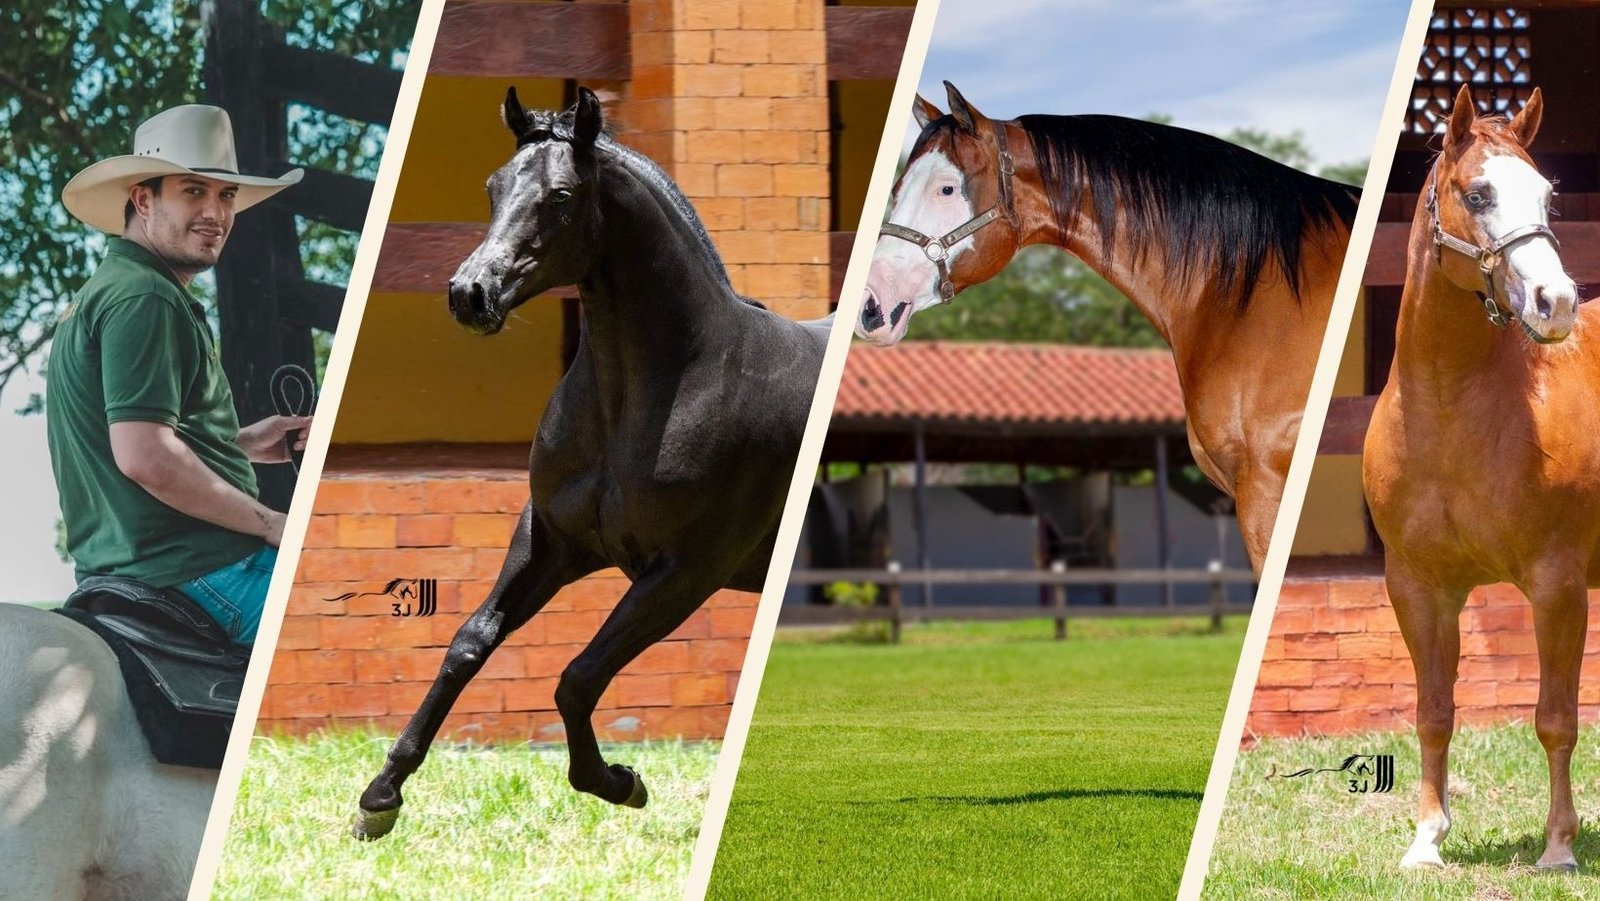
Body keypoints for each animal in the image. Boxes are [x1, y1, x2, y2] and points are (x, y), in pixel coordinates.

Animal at [351, 87, 827, 839]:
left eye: (562, 196)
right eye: (493, 187)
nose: (470, 293)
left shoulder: (685, 572)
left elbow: (578, 676)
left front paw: (617, 780)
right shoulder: (552, 541)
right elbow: (469, 641)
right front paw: (381, 794)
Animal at [1364, 84, 1595, 871]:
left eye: (1549, 196)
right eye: (1479, 193)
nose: (1556, 302)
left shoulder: (1557, 581)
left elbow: (1555, 719)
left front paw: (1559, 847)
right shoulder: (1419, 586)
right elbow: (1433, 713)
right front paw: (1426, 839)